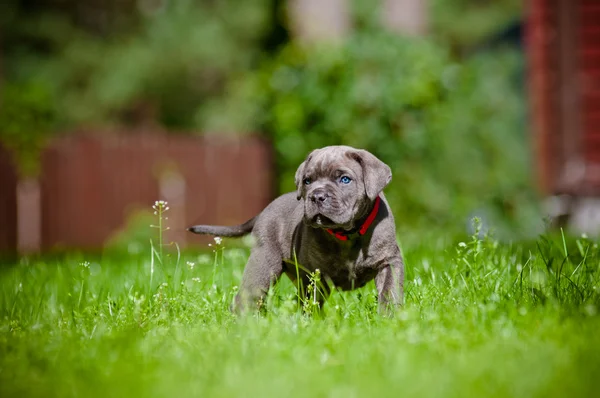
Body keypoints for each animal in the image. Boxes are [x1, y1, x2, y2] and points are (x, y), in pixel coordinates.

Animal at [188, 145, 404, 312]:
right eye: (307, 181)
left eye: (344, 179)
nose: (317, 196)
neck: (347, 234)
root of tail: (264, 211)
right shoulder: (314, 273)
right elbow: (313, 300)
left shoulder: (389, 261)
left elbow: (389, 290)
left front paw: (389, 316)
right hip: (264, 263)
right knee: (248, 297)